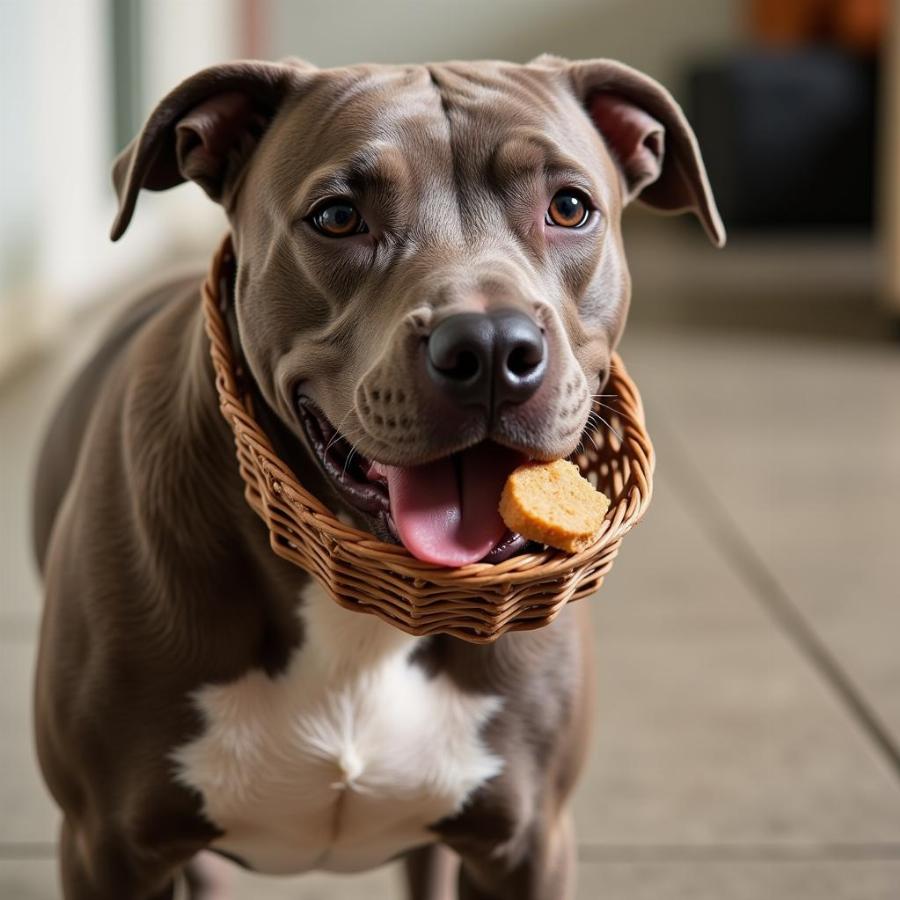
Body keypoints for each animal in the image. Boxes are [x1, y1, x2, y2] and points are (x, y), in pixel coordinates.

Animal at [31, 56, 724, 900]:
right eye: (336, 217)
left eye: (569, 207)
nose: (489, 346)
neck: (365, 607)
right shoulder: (106, 850)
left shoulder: (529, 847)